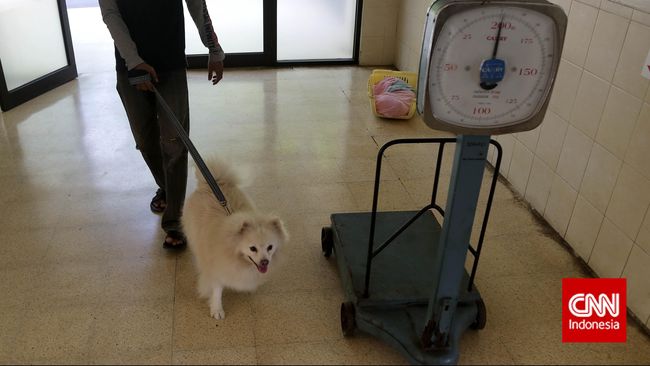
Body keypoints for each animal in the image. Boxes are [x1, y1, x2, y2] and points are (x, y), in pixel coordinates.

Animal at [181, 159, 284, 318]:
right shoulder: (216, 269)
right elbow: (217, 291)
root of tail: (209, 184)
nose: (265, 262)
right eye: (252, 248)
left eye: (270, 247)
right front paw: (217, 310)